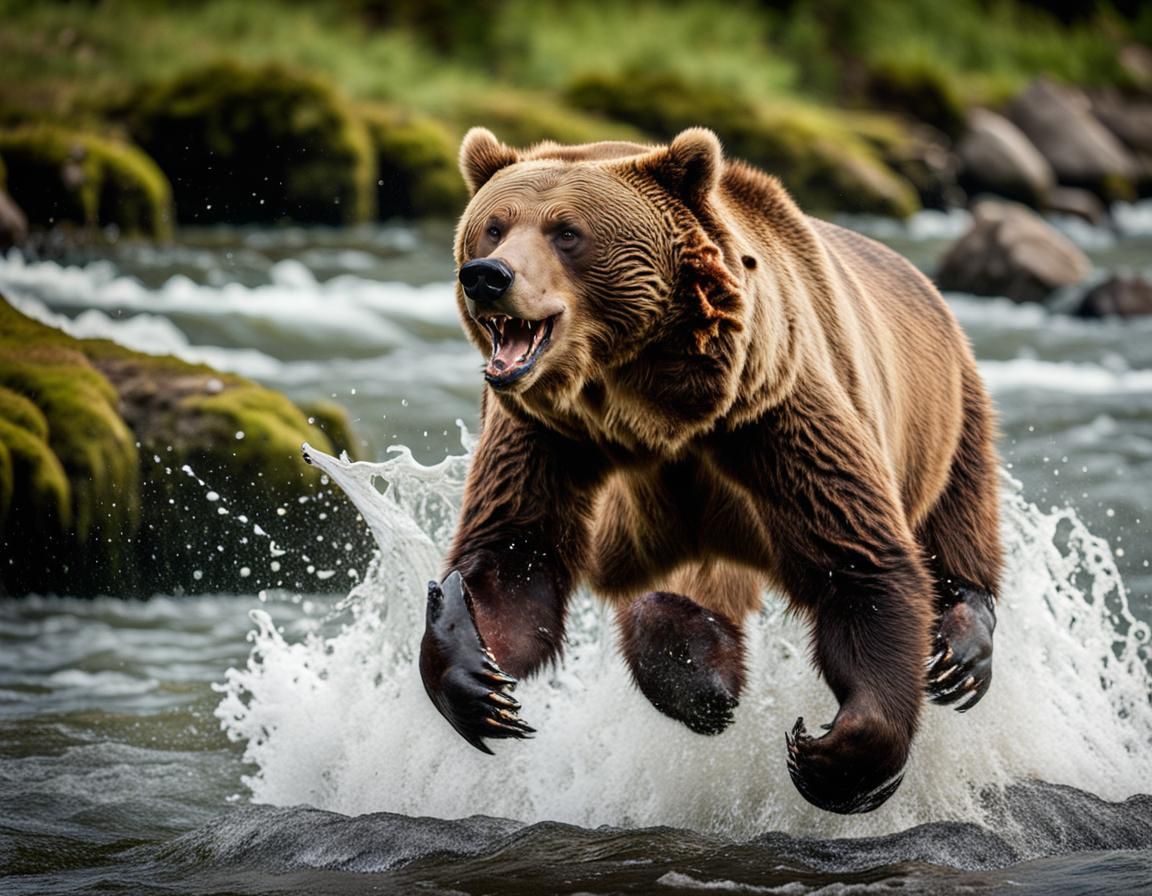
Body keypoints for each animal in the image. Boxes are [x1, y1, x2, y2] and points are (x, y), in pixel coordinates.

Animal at [418, 127, 1001, 814]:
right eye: (493, 226)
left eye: (566, 231)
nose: (487, 276)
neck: (648, 401)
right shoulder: (544, 432)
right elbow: (515, 558)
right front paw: (477, 677)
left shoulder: (773, 410)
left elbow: (861, 562)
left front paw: (834, 755)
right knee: (676, 596)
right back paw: (704, 684)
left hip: (951, 411)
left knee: (957, 519)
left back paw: (962, 647)